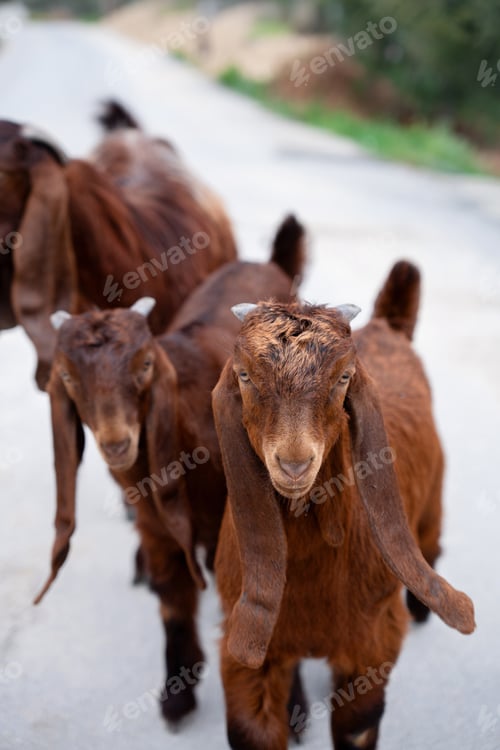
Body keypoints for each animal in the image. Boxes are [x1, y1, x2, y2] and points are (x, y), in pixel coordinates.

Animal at [33, 215, 306, 727]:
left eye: (144, 364)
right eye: (68, 378)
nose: (117, 442)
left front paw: (291, 708)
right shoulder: (156, 525)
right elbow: (174, 599)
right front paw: (177, 693)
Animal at [212, 260, 475, 750]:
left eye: (343, 378)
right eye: (244, 376)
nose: (295, 464)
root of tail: (389, 326)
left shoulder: (371, 642)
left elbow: (357, 724)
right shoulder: (244, 645)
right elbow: (250, 728)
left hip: (433, 497)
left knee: (431, 538)